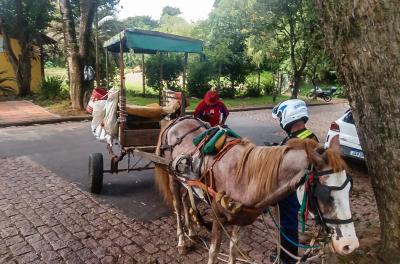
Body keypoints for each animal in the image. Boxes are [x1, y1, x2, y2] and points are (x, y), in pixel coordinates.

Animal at [154, 118, 360, 264]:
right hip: (172, 177)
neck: (244, 176)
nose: (350, 245)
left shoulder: (242, 219)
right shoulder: (218, 218)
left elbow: (233, 250)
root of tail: (176, 121)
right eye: (323, 193)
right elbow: (213, 253)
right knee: (178, 206)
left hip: (186, 181)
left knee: (186, 198)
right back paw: (182, 241)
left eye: (349, 188)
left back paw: (191, 231)